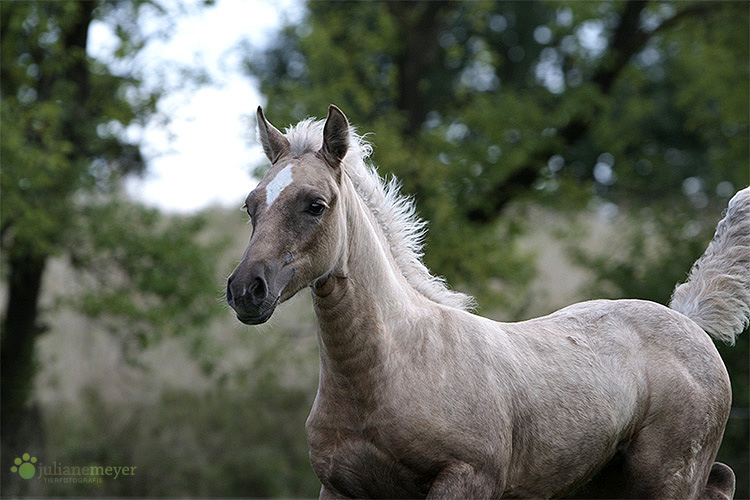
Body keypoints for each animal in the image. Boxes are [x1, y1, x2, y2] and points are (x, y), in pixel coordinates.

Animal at [226, 103, 748, 498]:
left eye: (315, 204)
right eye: (251, 205)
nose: (245, 290)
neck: (388, 369)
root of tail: (687, 320)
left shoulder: (468, 478)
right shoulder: (339, 488)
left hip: (666, 479)